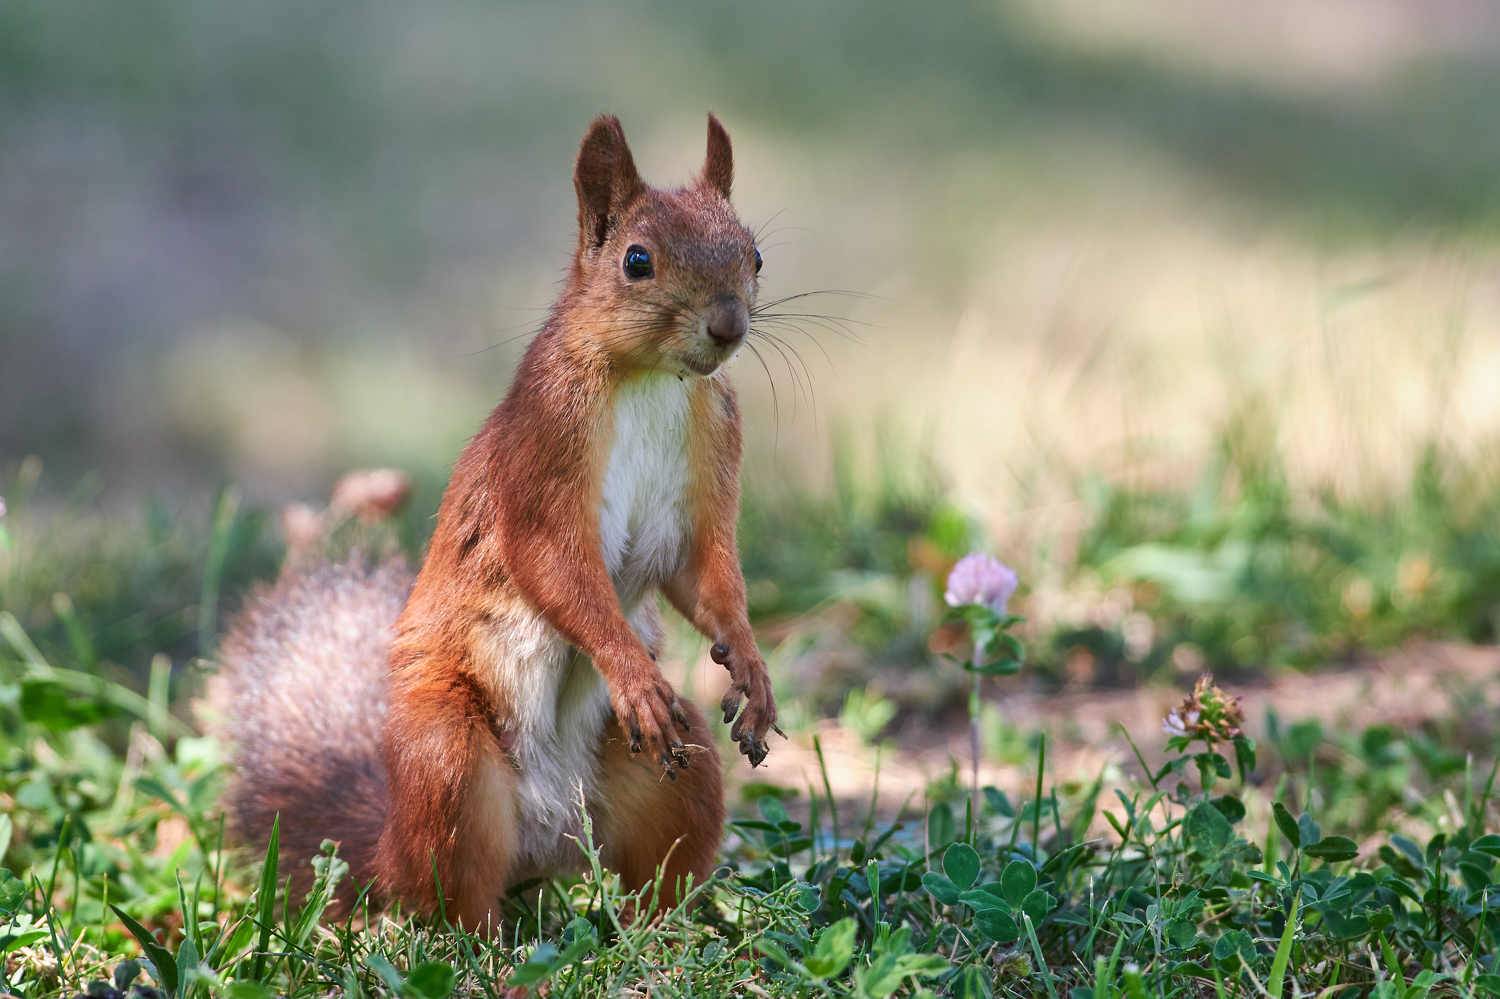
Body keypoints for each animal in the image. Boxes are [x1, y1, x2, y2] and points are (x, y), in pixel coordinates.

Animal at [213, 114, 779, 931]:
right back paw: (487, 946)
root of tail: (548, 837)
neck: (651, 380)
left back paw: (671, 932)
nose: (729, 325)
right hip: (448, 759)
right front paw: (632, 672)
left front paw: (752, 667)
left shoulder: (713, 450)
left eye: (755, 254)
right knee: (451, 901)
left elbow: (705, 575)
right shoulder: (541, 447)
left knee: (660, 867)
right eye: (637, 260)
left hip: (679, 778)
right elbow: (554, 568)